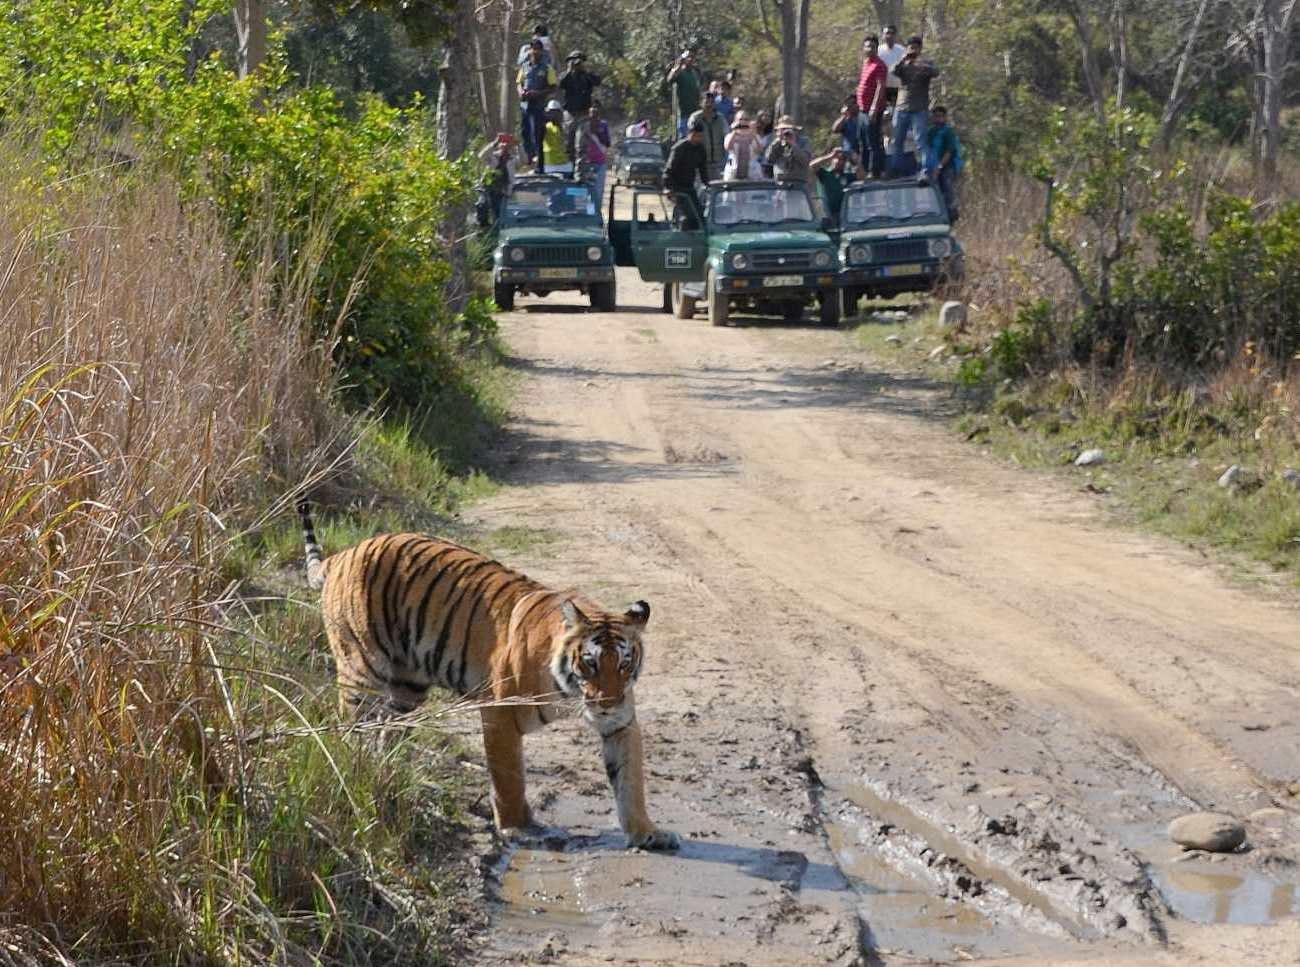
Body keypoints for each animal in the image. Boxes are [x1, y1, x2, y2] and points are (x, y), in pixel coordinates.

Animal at [296, 498, 679, 851]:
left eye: (624, 664)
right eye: (590, 663)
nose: (607, 704)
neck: (569, 691)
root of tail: (344, 554)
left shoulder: (621, 723)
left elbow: (630, 781)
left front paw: (648, 832)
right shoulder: (499, 713)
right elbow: (509, 777)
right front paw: (518, 828)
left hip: (407, 686)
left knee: (387, 731)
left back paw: (388, 771)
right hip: (362, 670)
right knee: (351, 728)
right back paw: (355, 770)